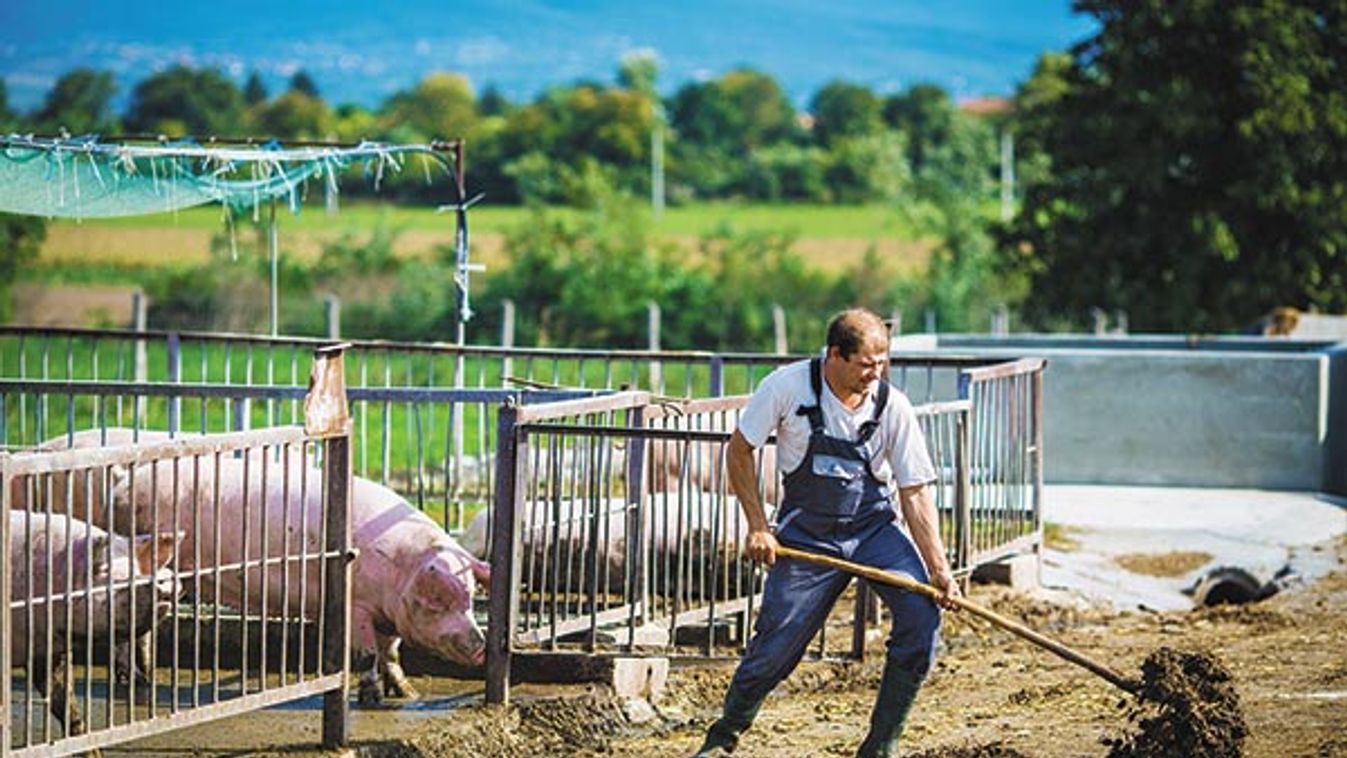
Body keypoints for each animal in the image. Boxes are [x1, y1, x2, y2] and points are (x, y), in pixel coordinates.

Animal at [5, 514, 181, 737]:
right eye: (103, 571)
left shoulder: (46, 648)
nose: (165, 585)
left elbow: (62, 695)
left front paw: (80, 737)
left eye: (136, 569)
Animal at [34, 430, 490, 710]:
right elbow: (364, 656)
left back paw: (144, 681)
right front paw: (373, 701)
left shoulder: (387, 613)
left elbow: (392, 652)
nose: (481, 644)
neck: (396, 566)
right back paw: (132, 683)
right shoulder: (356, 605)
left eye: (470, 598)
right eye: (438, 602)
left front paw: (407, 694)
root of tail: (123, 480)